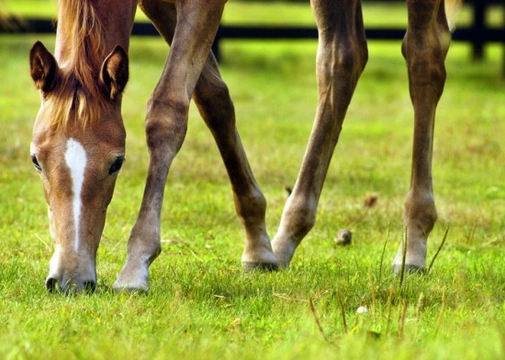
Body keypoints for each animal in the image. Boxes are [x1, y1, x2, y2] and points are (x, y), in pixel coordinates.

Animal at [27, 0, 460, 292]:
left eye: (116, 163)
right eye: (36, 161)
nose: (69, 279)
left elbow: (167, 110)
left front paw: (136, 265)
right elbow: (211, 97)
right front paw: (258, 242)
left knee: (424, 55)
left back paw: (414, 242)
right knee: (341, 58)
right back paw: (287, 236)